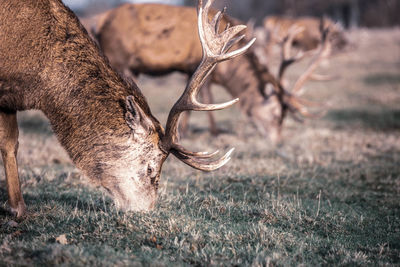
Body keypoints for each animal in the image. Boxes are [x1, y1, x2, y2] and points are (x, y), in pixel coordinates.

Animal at [0, 0, 255, 219]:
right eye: (151, 168)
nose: (148, 210)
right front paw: (19, 210)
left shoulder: (8, 100)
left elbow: (10, 144)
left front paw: (17, 208)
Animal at [81, 2, 332, 144]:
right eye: (276, 114)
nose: (278, 141)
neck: (228, 71)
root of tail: (98, 23)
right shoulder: (195, 64)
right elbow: (206, 96)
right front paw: (213, 132)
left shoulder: (187, 68)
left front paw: (184, 131)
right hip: (119, 57)